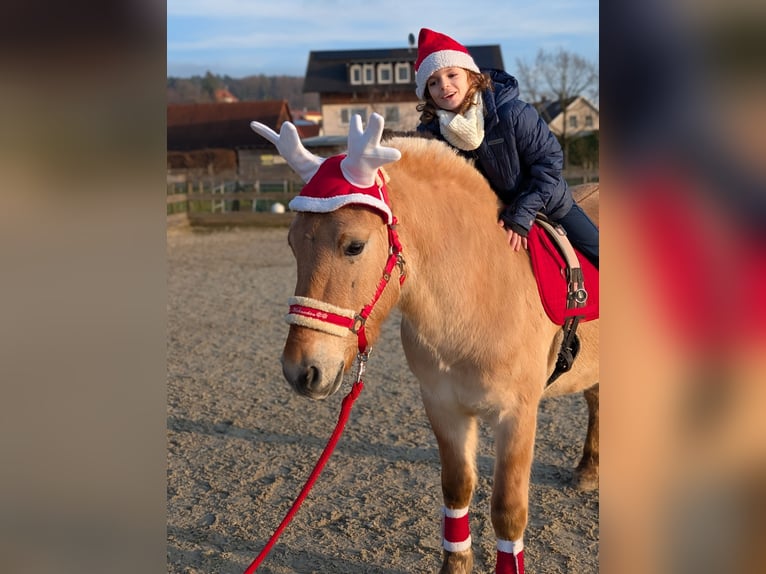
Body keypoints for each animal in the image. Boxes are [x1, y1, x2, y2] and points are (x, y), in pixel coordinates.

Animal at [250, 114, 599, 574]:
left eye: (354, 246)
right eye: (292, 244)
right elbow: (456, 488)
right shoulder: (442, 405)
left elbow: (508, 512)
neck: (479, 293)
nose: (300, 370)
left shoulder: (518, 415)